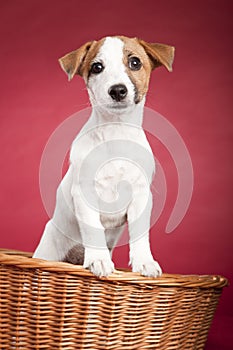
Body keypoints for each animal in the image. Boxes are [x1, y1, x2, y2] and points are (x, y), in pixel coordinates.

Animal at [33, 34, 175, 276]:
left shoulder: (141, 196)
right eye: (97, 67)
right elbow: (93, 230)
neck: (115, 131)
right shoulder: (85, 194)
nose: (117, 90)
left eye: (135, 62)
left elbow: (140, 234)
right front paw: (99, 260)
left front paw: (144, 261)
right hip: (48, 249)